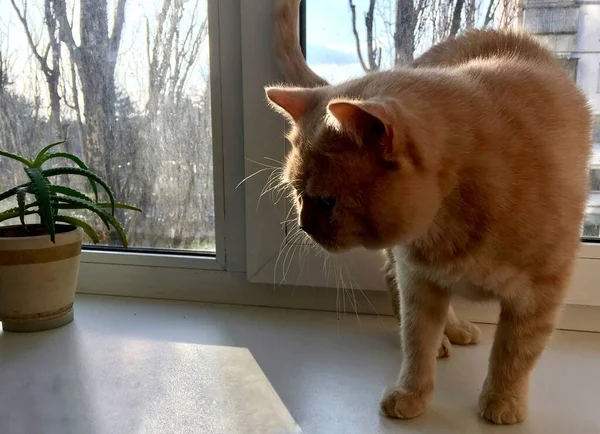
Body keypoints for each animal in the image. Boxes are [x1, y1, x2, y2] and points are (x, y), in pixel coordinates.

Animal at [266, 0, 592, 426]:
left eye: (326, 201)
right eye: (296, 193)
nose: (304, 227)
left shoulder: (540, 296)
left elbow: (515, 354)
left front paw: (502, 400)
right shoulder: (418, 280)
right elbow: (416, 343)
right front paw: (413, 393)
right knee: (397, 289)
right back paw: (446, 336)